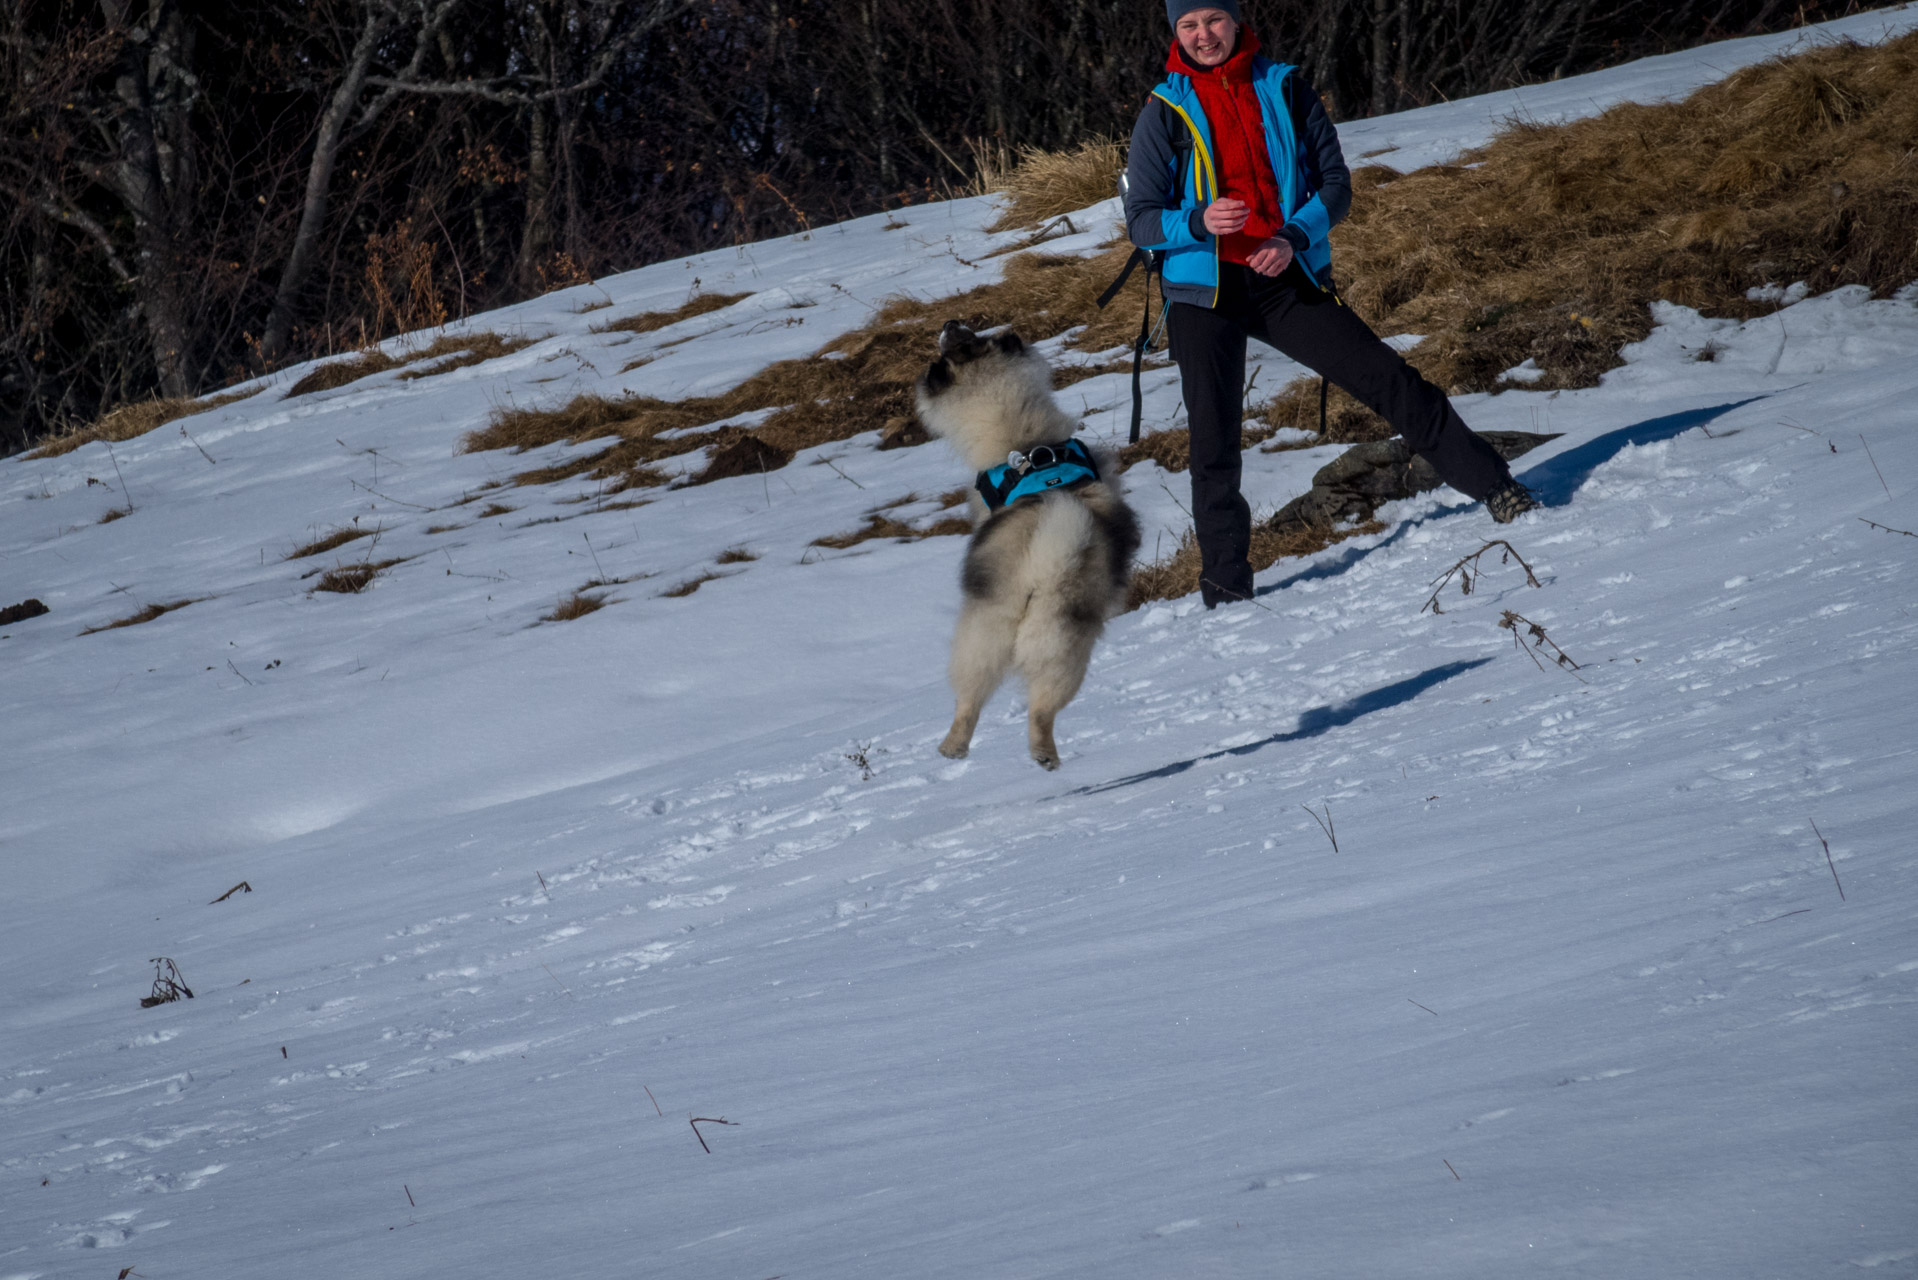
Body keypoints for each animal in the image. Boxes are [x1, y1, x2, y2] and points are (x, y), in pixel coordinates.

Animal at [912, 320, 1135, 771]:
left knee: (981, 702)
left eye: (970, 338)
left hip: (992, 633)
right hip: (1048, 644)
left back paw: (961, 749)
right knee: (1029, 708)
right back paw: (1027, 753)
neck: (1025, 444)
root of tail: (1042, 563)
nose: (949, 323)